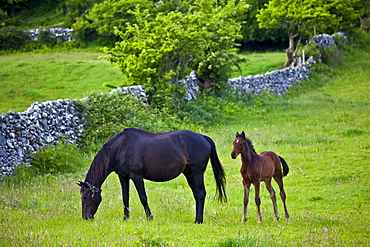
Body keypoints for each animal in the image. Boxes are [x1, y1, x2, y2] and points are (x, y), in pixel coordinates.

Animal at [77, 128, 227, 223]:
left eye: (85, 197)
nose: (86, 218)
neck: (121, 148)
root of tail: (203, 137)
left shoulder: (137, 176)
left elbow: (143, 198)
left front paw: (150, 218)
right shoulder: (123, 177)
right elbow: (125, 198)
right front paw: (126, 218)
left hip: (197, 172)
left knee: (201, 194)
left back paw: (199, 220)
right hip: (189, 174)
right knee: (196, 195)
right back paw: (196, 219)